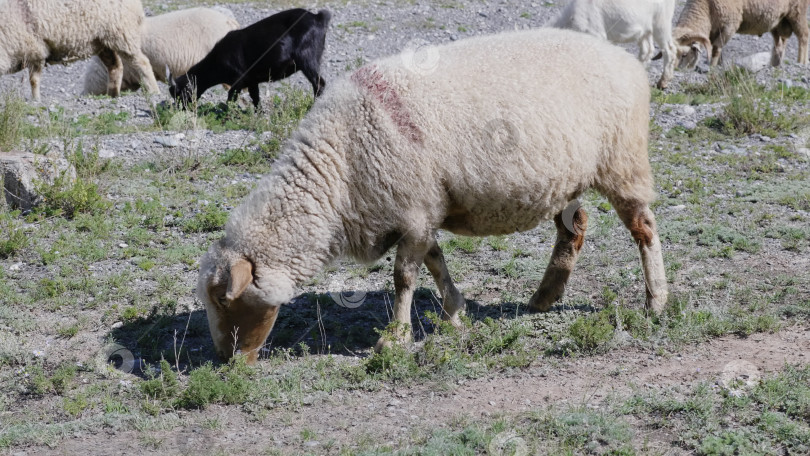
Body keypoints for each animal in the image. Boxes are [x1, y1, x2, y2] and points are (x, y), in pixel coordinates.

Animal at [170, 9, 332, 109]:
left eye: (181, 94)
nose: (181, 110)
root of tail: (318, 17)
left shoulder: (239, 80)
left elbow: (231, 98)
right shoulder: (252, 81)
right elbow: (255, 98)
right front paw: (259, 115)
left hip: (307, 58)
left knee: (319, 84)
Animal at [548, 0, 676, 90]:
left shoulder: (596, 35)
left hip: (661, 23)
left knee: (669, 50)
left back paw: (663, 82)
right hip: (645, 30)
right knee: (647, 50)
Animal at [656, 0, 808, 87]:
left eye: (684, 54)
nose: (661, 84)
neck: (706, 8)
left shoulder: (730, 25)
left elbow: (716, 49)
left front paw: (712, 66)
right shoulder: (714, 30)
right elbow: (718, 51)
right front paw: (719, 64)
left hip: (797, 13)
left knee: (804, 37)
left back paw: (801, 62)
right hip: (777, 22)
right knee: (779, 45)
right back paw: (775, 64)